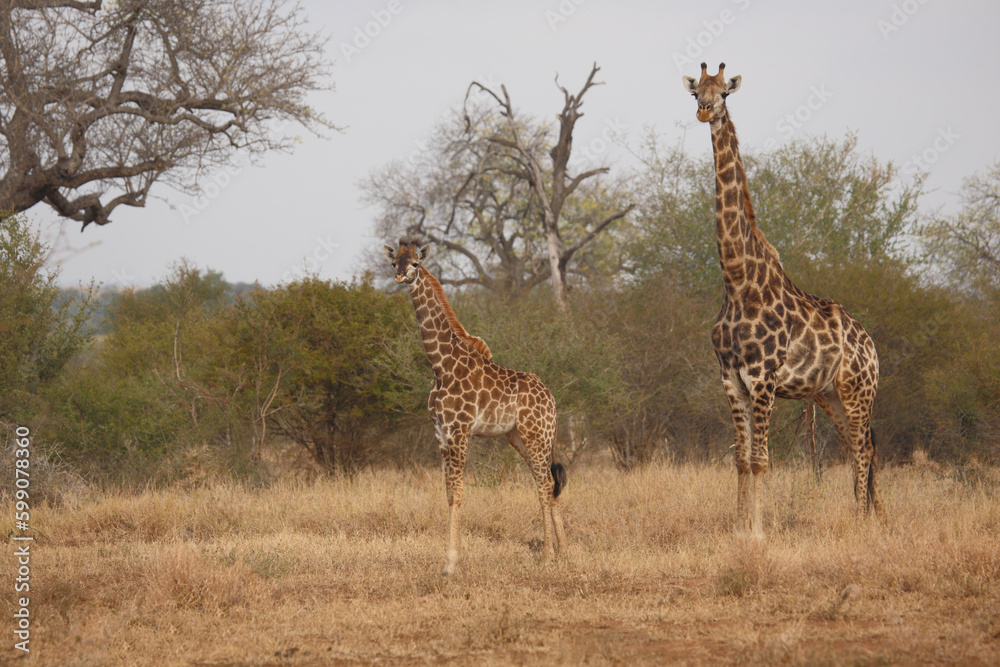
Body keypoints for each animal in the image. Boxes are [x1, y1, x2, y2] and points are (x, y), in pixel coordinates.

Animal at [383, 240, 568, 575]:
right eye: (394, 263)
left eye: (415, 263)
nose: (401, 275)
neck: (440, 366)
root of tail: (551, 398)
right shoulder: (440, 433)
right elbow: (447, 493)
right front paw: (451, 559)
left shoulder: (460, 430)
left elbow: (458, 493)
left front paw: (451, 564)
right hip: (520, 437)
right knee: (545, 481)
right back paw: (564, 553)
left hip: (536, 435)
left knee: (546, 482)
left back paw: (548, 555)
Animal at [682, 63, 884, 536]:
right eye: (696, 92)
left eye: (725, 93)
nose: (704, 112)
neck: (737, 281)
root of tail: (870, 344)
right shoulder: (730, 379)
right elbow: (740, 459)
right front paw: (739, 528)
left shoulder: (763, 378)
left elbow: (760, 460)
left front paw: (758, 532)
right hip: (829, 395)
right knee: (859, 446)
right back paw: (869, 515)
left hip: (858, 390)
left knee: (865, 448)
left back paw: (861, 520)